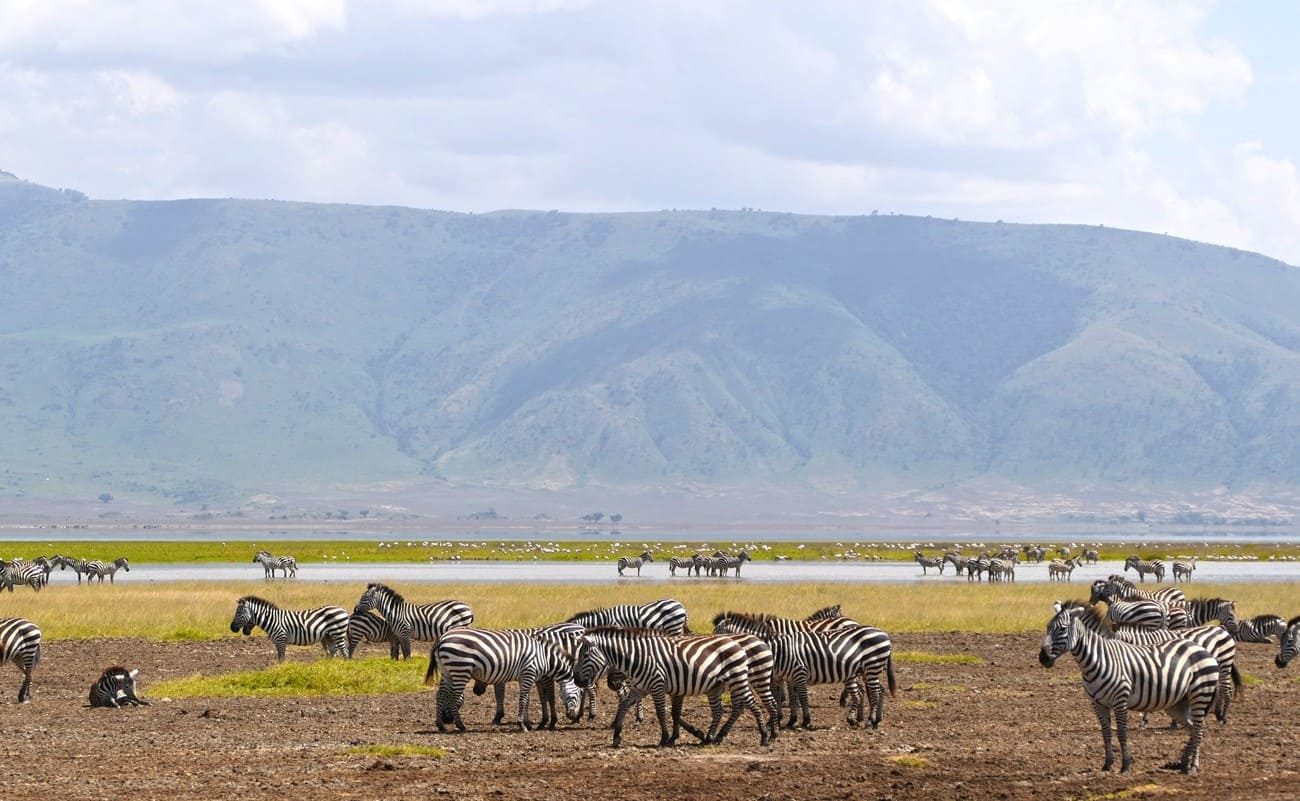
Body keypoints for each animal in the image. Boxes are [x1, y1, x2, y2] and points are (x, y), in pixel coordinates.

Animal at [427, 627, 575, 732]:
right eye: (575, 694)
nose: (572, 716)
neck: (544, 657)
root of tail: (441, 639)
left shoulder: (525, 677)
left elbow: (527, 700)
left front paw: (527, 723)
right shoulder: (529, 672)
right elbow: (523, 699)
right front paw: (522, 725)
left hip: (446, 671)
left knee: (440, 695)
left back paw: (441, 726)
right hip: (460, 668)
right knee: (453, 696)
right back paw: (461, 725)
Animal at [572, 627, 770, 747]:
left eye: (585, 655)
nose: (577, 681)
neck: (638, 658)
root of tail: (735, 642)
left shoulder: (657, 686)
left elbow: (661, 713)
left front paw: (665, 738)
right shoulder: (640, 689)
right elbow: (623, 706)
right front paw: (616, 736)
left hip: (738, 679)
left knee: (753, 704)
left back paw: (765, 736)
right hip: (716, 686)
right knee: (720, 711)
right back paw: (709, 738)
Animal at [1039, 602, 1220, 775]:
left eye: (1062, 629)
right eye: (1047, 627)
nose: (1043, 658)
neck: (1099, 659)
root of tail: (1201, 647)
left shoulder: (1120, 700)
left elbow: (1121, 733)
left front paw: (1125, 766)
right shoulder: (1097, 703)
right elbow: (1106, 733)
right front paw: (1107, 764)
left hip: (1200, 694)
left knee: (1198, 729)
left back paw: (1193, 766)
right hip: (1177, 704)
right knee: (1192, 728)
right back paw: (1183, 763)